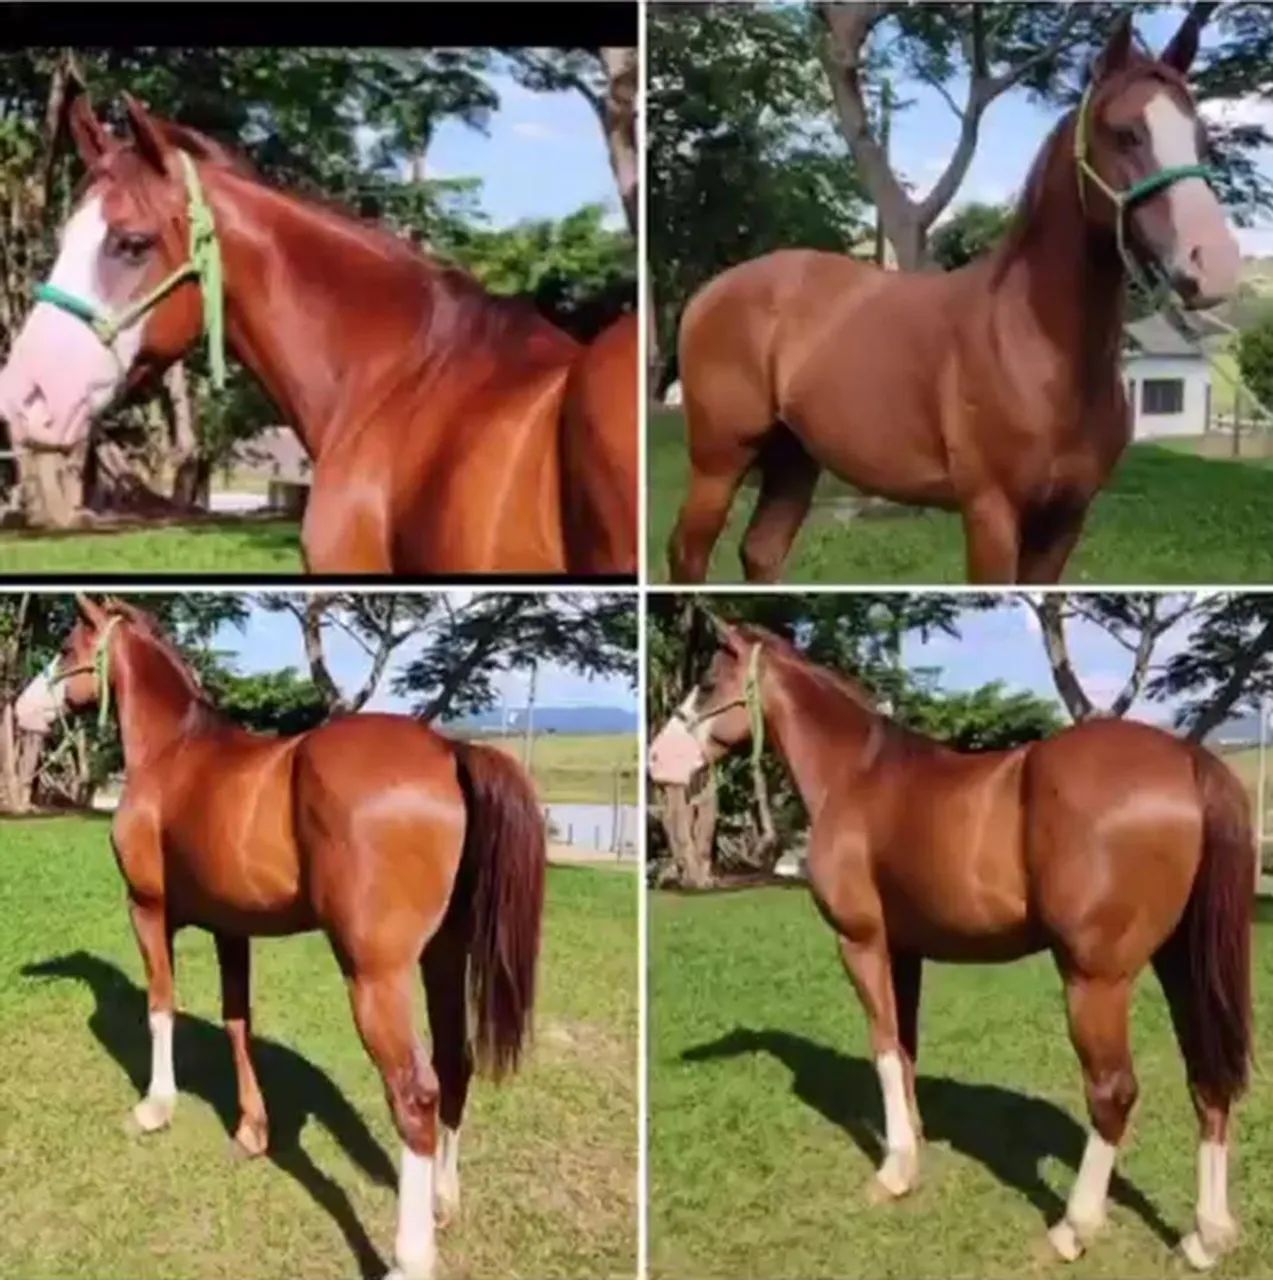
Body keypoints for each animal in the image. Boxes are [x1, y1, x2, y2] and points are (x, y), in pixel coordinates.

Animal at [14, 596, 546, 1280]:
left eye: (66, 648)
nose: (21, 709)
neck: (174, 753)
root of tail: (449, 752)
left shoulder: (147, 910)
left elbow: (161, 1007)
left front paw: (156, 1107)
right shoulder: (231, 928)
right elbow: (238, 1022)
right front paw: (251, 1129)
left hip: (376, 975)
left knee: (415, 1094)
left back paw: (410, 1256)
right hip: (444, 957)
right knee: (457, 1064)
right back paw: (444, 1203)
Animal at [648, 616, 1253, 1271]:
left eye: (708, 683)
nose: (656, 758)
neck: (856, 777)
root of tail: (1188, 760)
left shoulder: (861, 943)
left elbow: (885, 1048)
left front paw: (893, 1173)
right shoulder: (905, 951)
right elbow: (906, 1050)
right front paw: (911, 1151)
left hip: (1096, 979)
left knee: (1113, 1092)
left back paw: (1074, 1228)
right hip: (1180, 964)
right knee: (1208, 1079)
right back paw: (1206, 1237)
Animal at [667, 12, 1240, 585]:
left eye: (1200, 139)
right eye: (1125, 133)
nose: (1213, 263)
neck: (1032, 342)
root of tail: (710, 292)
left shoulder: (1064, 521)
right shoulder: (991, 512)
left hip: (794, 456)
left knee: (762, 551)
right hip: (719, 462)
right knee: (688, 554)